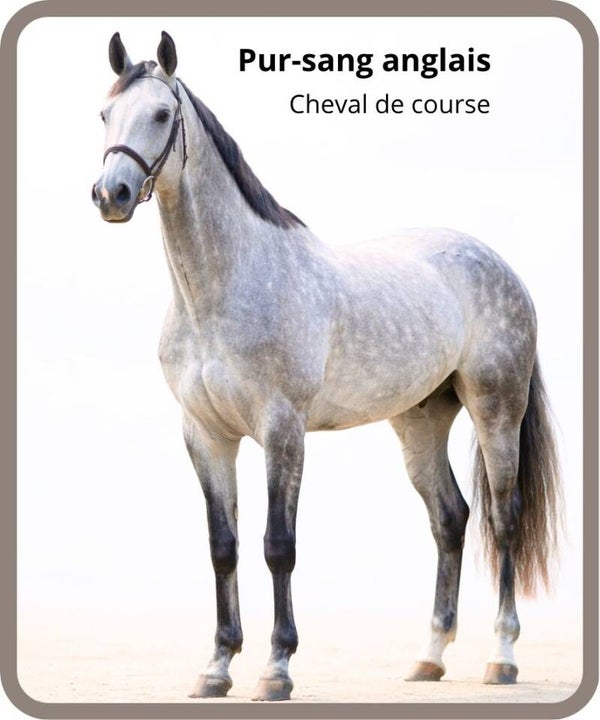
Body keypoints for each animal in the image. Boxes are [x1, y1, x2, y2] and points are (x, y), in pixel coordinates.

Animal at [91, 32, 561, 701]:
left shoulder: (282, 430)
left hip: (497, 410)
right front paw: (216, 667)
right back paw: (429, 658)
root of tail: (498, 264)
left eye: (160, 114)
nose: (112, 196)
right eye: (105, 115)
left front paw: (277, 669)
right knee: (450, 519)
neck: (226, 287)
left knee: (503, 518)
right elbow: (223, 547)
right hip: (420, 421)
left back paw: (501, 658)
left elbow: (277, 546)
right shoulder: (205, 435)